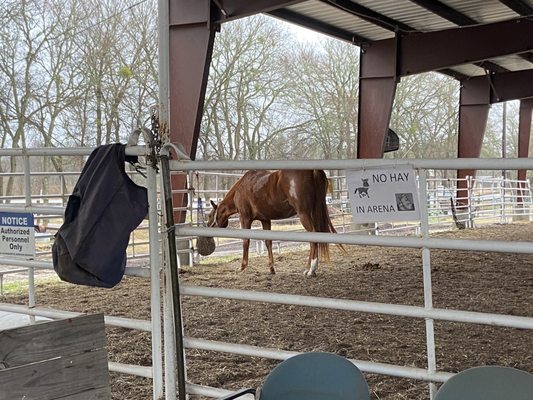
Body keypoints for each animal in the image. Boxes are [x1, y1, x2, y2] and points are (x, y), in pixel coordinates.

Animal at [206, 168, 338, 276]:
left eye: (209, 215)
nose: (207, 226)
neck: (242, 187)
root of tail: (312, 170)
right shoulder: (265, 219)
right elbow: (268, 242)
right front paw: (271, 268)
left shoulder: (245, 218)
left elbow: (245, 241)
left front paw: (242, 266)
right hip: (313, 213)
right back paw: (308, 269)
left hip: (304, 214)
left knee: (313, 238)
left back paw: (311, 270)